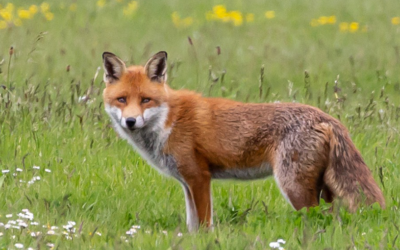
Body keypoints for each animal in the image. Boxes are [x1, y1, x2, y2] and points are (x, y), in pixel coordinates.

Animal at [102, 50, 384, 232]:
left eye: (146, 100)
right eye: (122, 100)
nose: (130, 122)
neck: (168, 120)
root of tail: (327, 117)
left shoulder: (199, 177)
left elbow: (204, 225)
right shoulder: (186, 183)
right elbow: (192, 225)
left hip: (294, 187)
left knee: (316, 220)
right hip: (323, 190)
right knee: (331, 220)